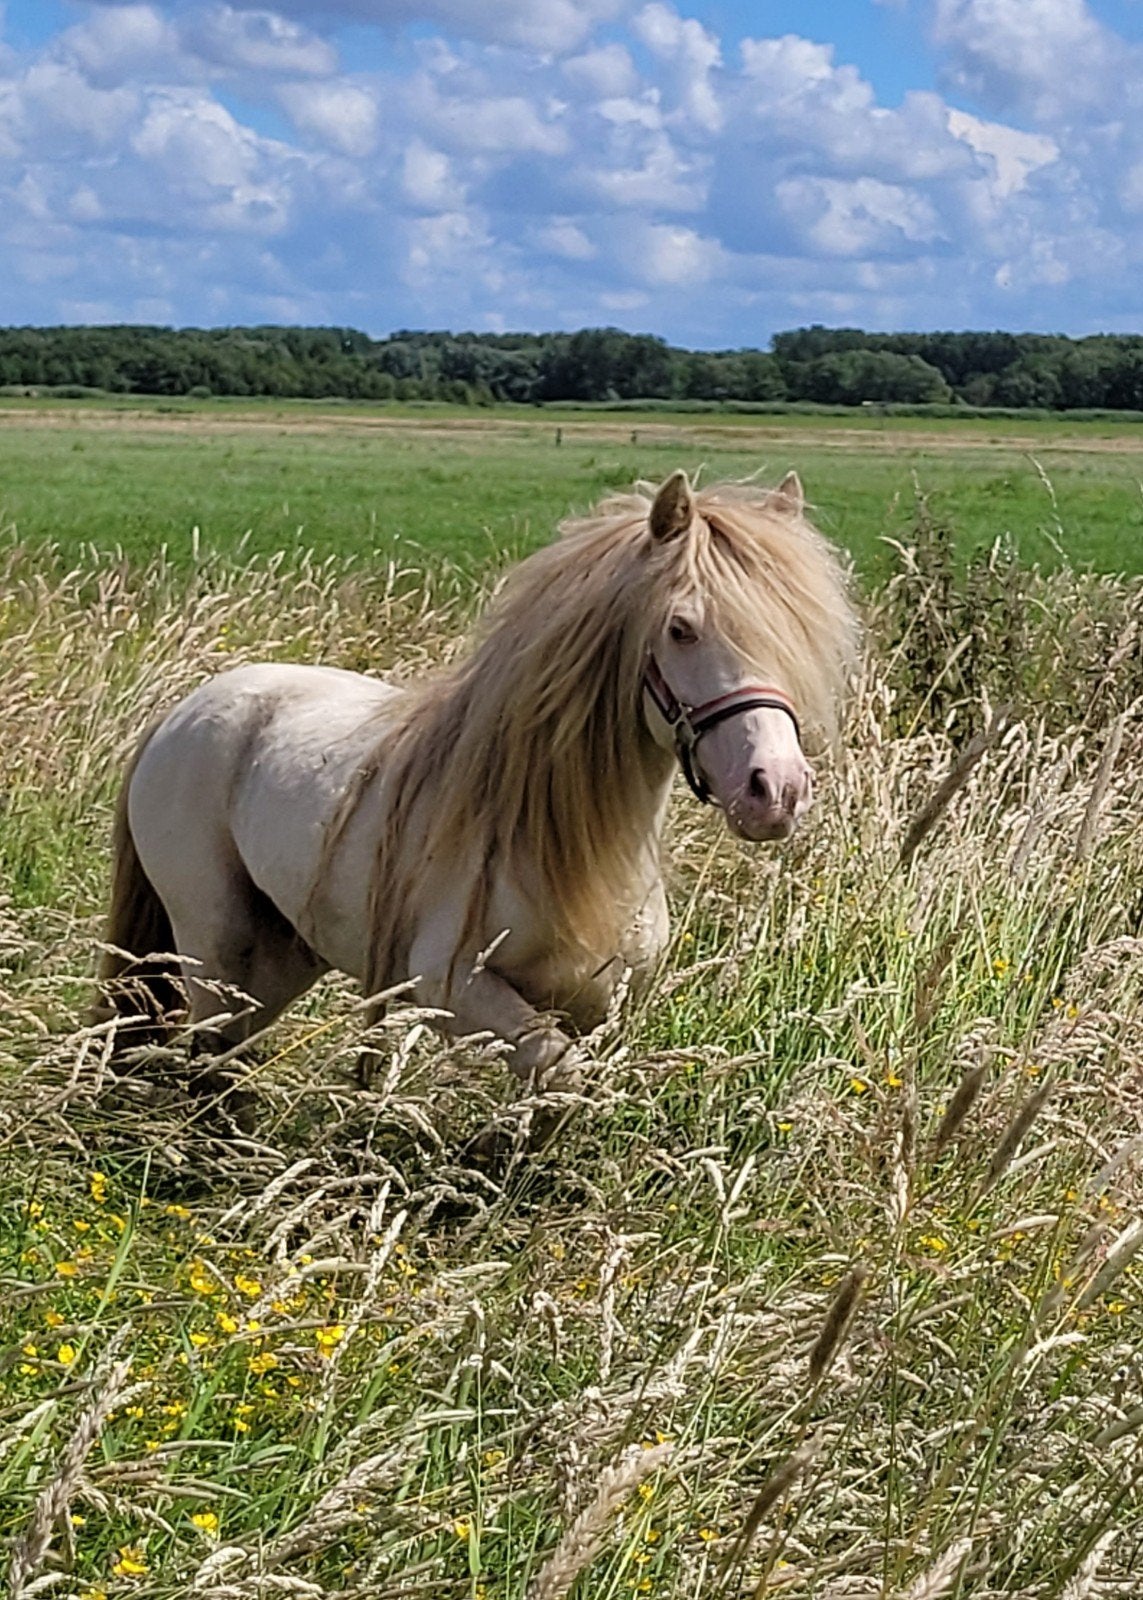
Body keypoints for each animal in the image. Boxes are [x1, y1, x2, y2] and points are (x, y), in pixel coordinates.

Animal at [96, 469, 858, 1118]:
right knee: (211, 1051)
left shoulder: (605, 1008)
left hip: (287, 951)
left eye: (799, 634)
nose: (774, 791)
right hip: (215, 944)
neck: (556, 837)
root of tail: (185, 709)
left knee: (237, 1046)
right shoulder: (451, 986)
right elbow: (556, 1069)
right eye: (680, 628)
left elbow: (567, 1092)